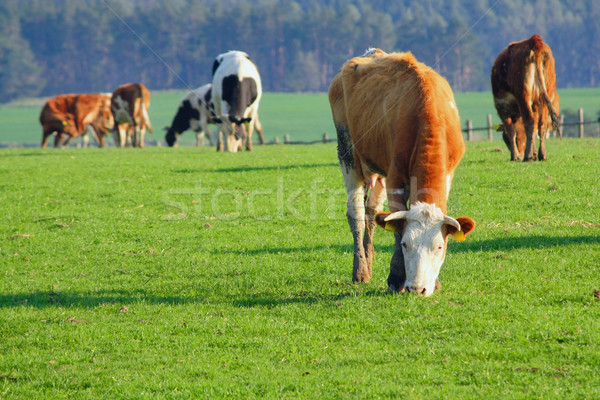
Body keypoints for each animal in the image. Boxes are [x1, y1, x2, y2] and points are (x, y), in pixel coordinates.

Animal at [326, 48, 476, 296]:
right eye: (406, 244)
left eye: (440, 246)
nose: (418, 288)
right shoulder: (395, 177)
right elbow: (395, 226)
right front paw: (396, 278)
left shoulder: (448, 173)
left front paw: (434, 282)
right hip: (346, 151)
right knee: (356, 212)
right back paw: (360, 270)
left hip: (378, 170)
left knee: (372, 212)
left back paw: (369, 259)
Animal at [490, 34, 560, 162]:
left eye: (506, 140)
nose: (520, 154)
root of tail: (533, 40)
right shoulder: (535, 105)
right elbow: (533, 130)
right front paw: (534, 153)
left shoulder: (502, 108)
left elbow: (511, 130)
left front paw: (515, 156)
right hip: (545, 96)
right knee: (541, 125)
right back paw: (542, 154)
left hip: (523, 95)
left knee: (530, 121)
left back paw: (527, 156)